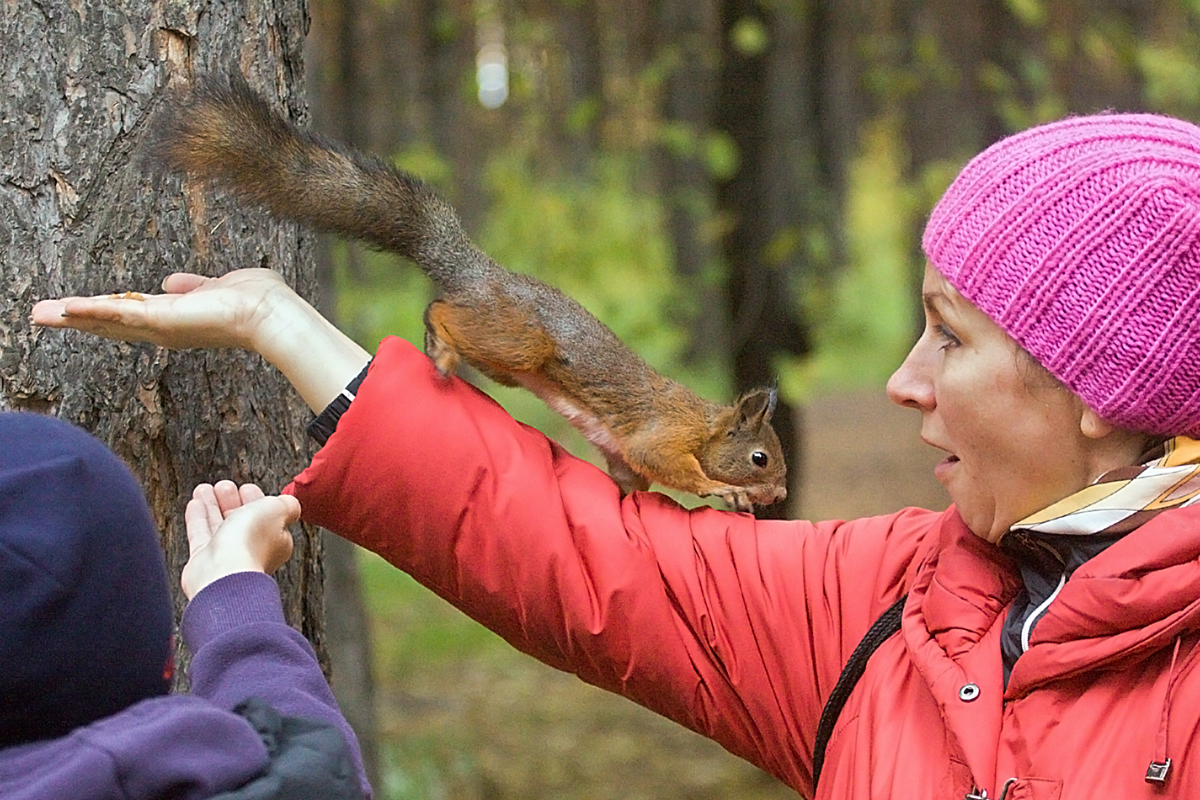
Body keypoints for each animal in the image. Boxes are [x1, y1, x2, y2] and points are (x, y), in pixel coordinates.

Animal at [140, 76, 787, 513]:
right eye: (759, 457)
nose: (780, 493)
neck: (705, 424)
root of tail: (479, 272)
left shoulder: (625, 458)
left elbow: (630, 481)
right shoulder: (663, 433)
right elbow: (669, 462)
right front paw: (719, 488)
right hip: (516, 340)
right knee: (439, 310)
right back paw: (441, 345)